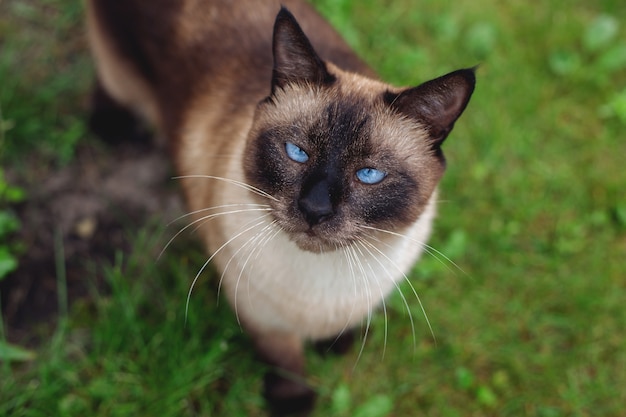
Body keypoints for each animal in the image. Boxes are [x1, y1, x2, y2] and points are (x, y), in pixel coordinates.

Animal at [84, 0, 472, 412]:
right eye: (296, 152)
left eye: (369, 174)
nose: (315, 209)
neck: (324, 283)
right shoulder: (261, 314)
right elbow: (284, 360)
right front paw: (294, 403)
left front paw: (337, 346)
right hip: (119, 74)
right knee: (107, 87)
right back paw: (111, 129)